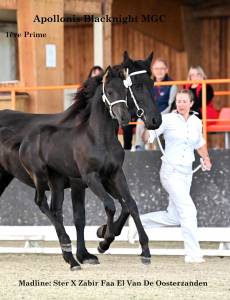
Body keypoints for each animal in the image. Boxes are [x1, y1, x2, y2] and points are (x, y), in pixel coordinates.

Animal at [0, 52, 162, 268]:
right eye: (134, 85)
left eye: (152, 83)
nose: (155, 121)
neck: (98, 136)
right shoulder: (84, 180)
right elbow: (85, 216)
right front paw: (94, 247)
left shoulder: (112, 175)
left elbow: (129, 204)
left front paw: (113, 239)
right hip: (40, 177)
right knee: (43, 204)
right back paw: (68, 248)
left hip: (44, 181)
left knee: (55, 210)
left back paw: (69, 252)